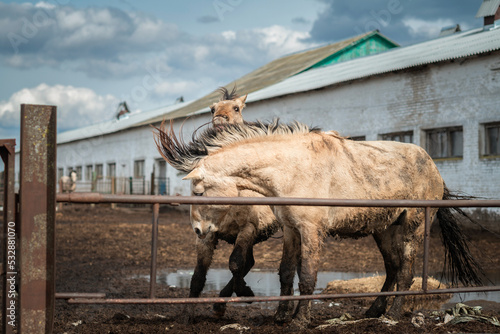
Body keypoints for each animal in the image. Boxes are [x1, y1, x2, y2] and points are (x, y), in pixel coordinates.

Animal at [154, 119, 482, 328]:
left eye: (198, 192)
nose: (199, 231)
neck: (292, 168)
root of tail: (434, 168)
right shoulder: (290, 229)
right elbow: (286, 272)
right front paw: (280, 316)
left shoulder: (311, 230)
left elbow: (308, 277)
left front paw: (299, 320)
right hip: (384, 230)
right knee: (392, 267)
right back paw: (374, 311)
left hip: (414, 227)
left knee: (406, 273)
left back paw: (392, 316)